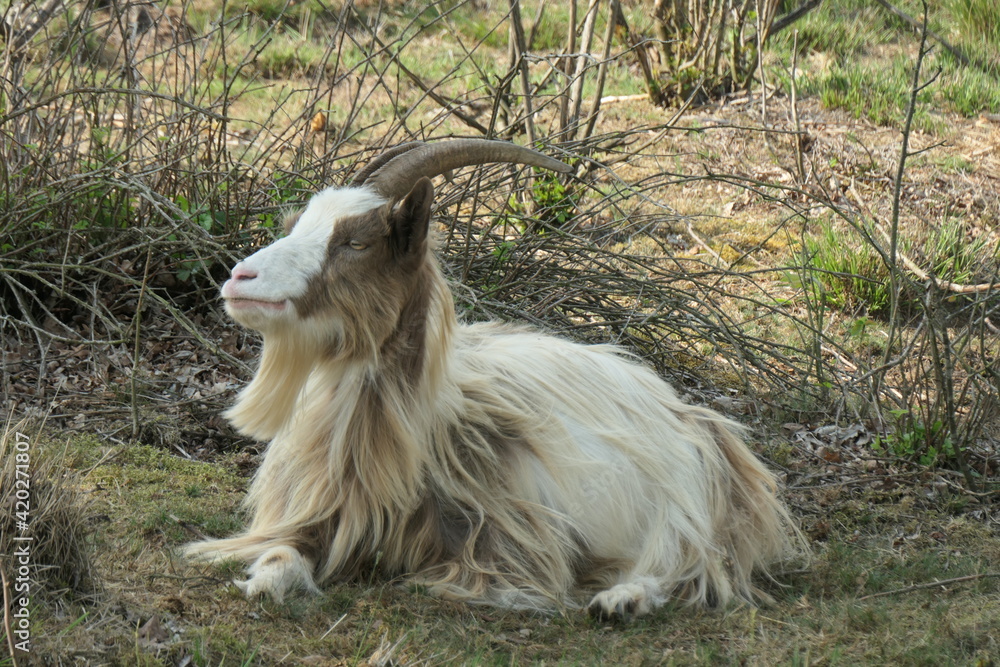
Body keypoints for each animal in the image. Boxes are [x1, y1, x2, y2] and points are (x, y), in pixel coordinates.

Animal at [185, 139, 800, 618]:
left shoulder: (514, 542)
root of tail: (698, 418)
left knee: (690, 563)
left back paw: (623, 600)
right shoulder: (320, 517)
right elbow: (281, 554)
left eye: (356, 242)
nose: (239, 277)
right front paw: (263, 581)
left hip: (687, 500)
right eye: (295, 226)